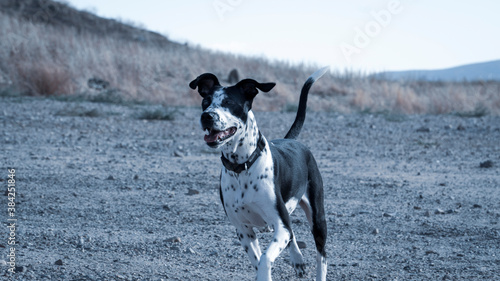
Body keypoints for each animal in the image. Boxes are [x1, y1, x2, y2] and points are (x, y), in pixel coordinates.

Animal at [188, 66, 328, 278]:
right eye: (205, 102)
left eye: (229, 102)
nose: (207, 116)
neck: (242, 167)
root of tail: (292, 140)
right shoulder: (244, 230)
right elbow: (258, 258)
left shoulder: (280, 226)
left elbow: (265, 259)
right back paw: (297, 259)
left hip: (317, 218)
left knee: (322, 257)